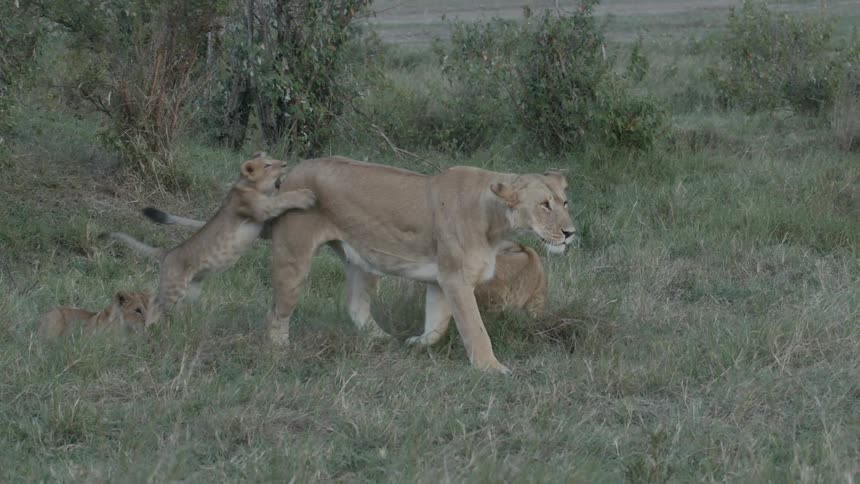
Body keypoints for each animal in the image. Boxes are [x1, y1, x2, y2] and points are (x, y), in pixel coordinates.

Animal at [104, 153, 317, 326]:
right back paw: (150, 329)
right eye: (268, 165)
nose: (285, 164)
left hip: (191, 292)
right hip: (173, 288)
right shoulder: (259, 208)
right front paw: (306, 195)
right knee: (156, 304)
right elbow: (282, 199)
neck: (248, 185)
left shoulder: (263, 224)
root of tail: (167, 253)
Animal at [266, 156, 575, 374]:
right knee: (278, 313)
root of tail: (291, 171)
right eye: (544, 205)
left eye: (564, 202)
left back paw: (385, 340)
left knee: (356, 305)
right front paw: (491, 368)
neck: (496, 225)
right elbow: (475, 329)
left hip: (363, 260)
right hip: (293, 257)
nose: (571, 233)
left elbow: (437, 326)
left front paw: (415, 344)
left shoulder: (441, 280)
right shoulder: (456, 278)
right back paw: (280, 353)